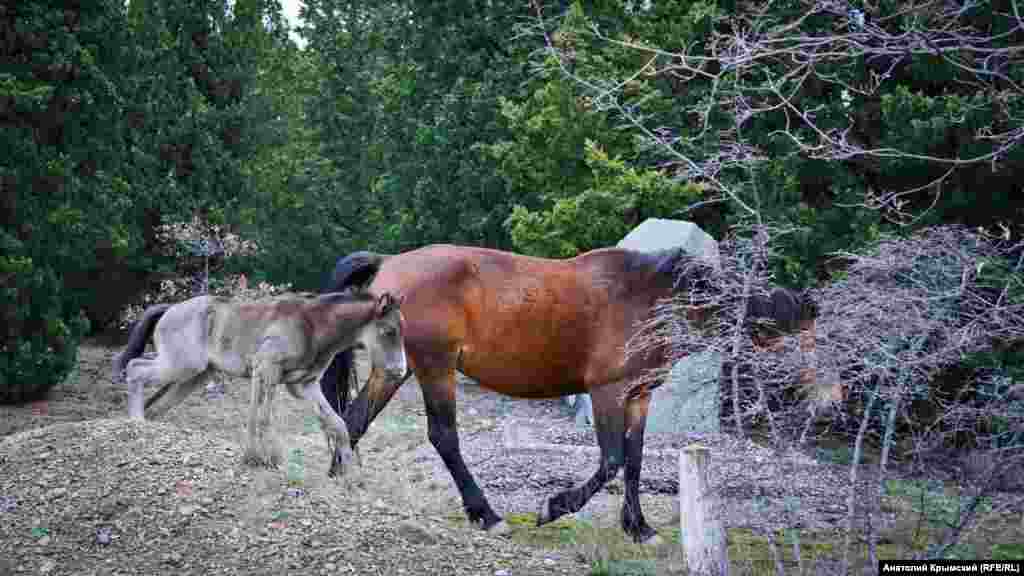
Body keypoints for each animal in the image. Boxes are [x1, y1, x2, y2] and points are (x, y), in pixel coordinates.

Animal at [315, 242, 819, 541]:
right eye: (804, 340)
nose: (824, 399)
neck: (650, 298)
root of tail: (389, 265)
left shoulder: (639, 396)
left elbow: (634, 461)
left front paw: (638, 527)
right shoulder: (607, 392)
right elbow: (612, 460)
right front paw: (555, 506)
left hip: (396, 370)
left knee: (353, 421)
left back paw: (344, 487)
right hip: (436, 368)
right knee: (443, 437)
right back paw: (487, 514)